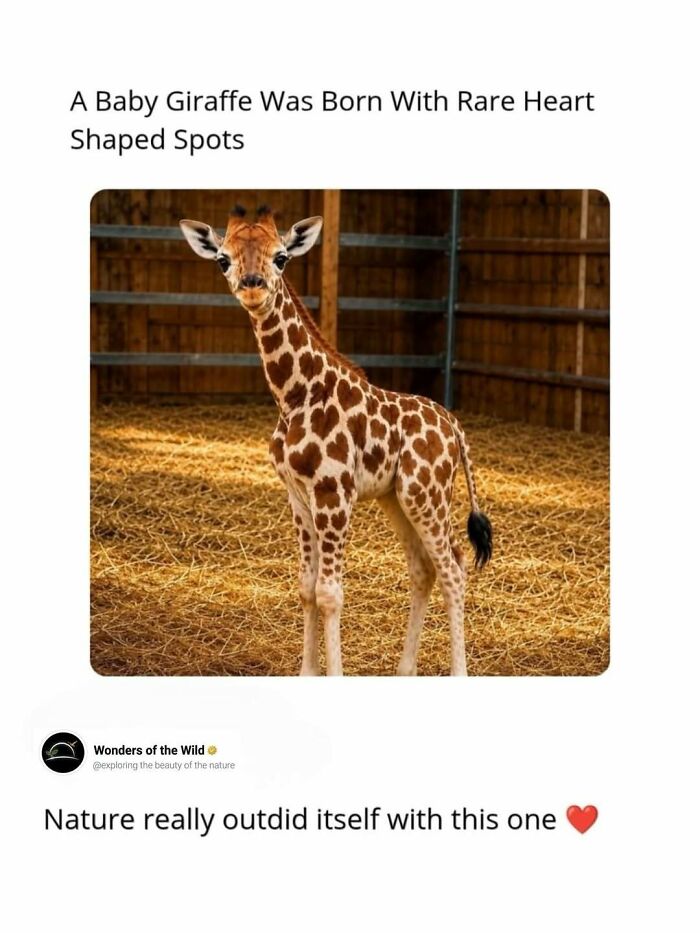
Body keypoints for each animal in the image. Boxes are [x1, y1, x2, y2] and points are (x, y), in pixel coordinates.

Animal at [180, 205, 492, 676]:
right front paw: (308, 673)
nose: (252, 287)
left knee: (453, 569)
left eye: (281, 257)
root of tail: (454, 426)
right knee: (423, 570)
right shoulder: (297, 495)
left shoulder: (334, 492)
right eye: (222, 259)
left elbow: (330, 594)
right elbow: (306, 587)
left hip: (427, 495)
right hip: (397, 499)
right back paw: (404, 671)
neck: (295, 395)